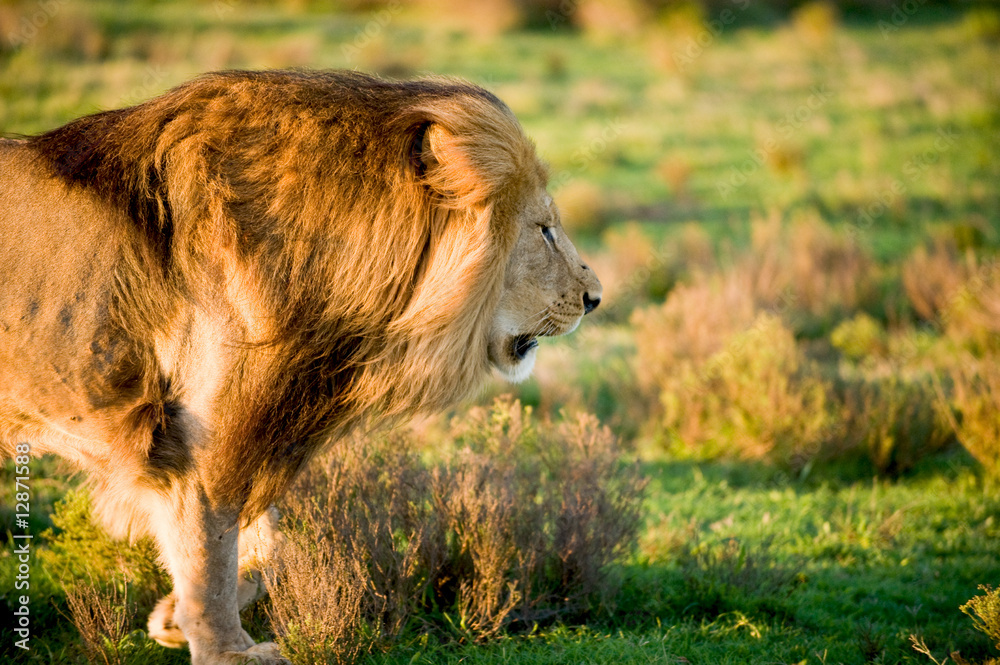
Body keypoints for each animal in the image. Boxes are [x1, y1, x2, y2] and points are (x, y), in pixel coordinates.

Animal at [0, 70, 601, 664]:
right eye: (544, 229)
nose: (595, 298)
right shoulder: (202, 434)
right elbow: (210, 548)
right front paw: (227, 651)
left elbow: (256, 537)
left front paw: (174, 617)